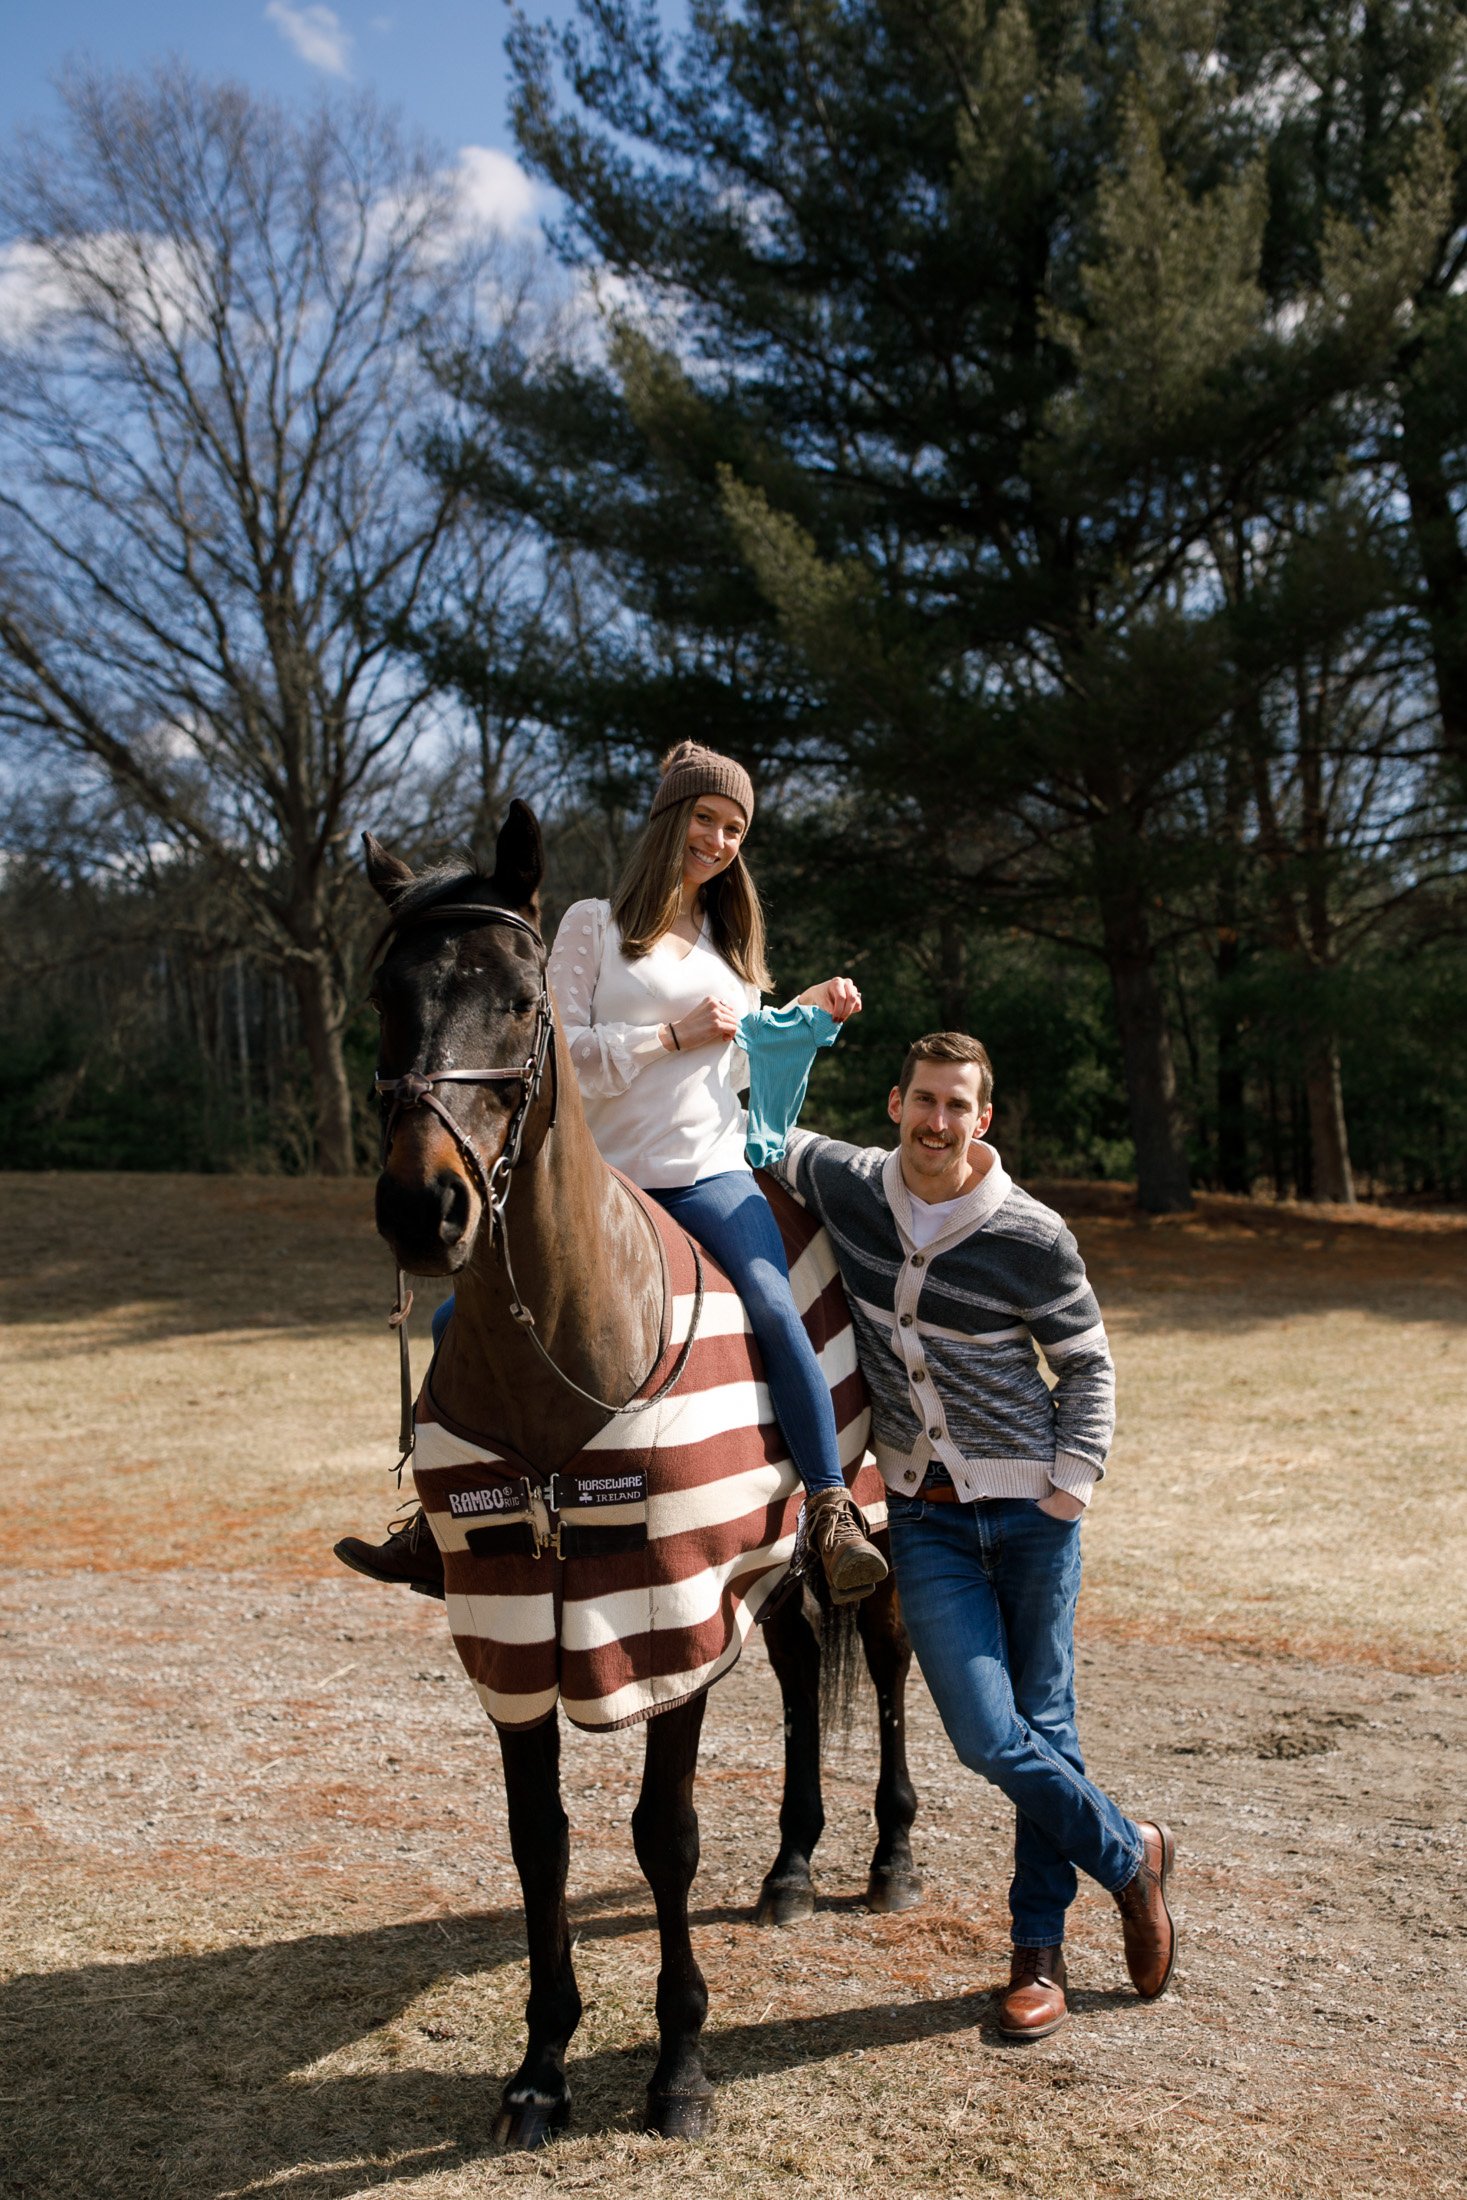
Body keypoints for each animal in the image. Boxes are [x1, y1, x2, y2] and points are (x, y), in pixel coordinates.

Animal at [367, 805, 919, 2147]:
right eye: (383, 997)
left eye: (520, 1002)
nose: (423, 1206)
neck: (564, 1340)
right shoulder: (515, 1622)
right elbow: (541, 1841)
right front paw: (540, 2065)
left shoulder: (666, 1611)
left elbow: (662, 1835)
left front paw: (678, 2065)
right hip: (761, 1558)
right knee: (795, 1669)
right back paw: (790, 1865)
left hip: (868, 1514)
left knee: (882, 1655)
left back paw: (887, 1856)